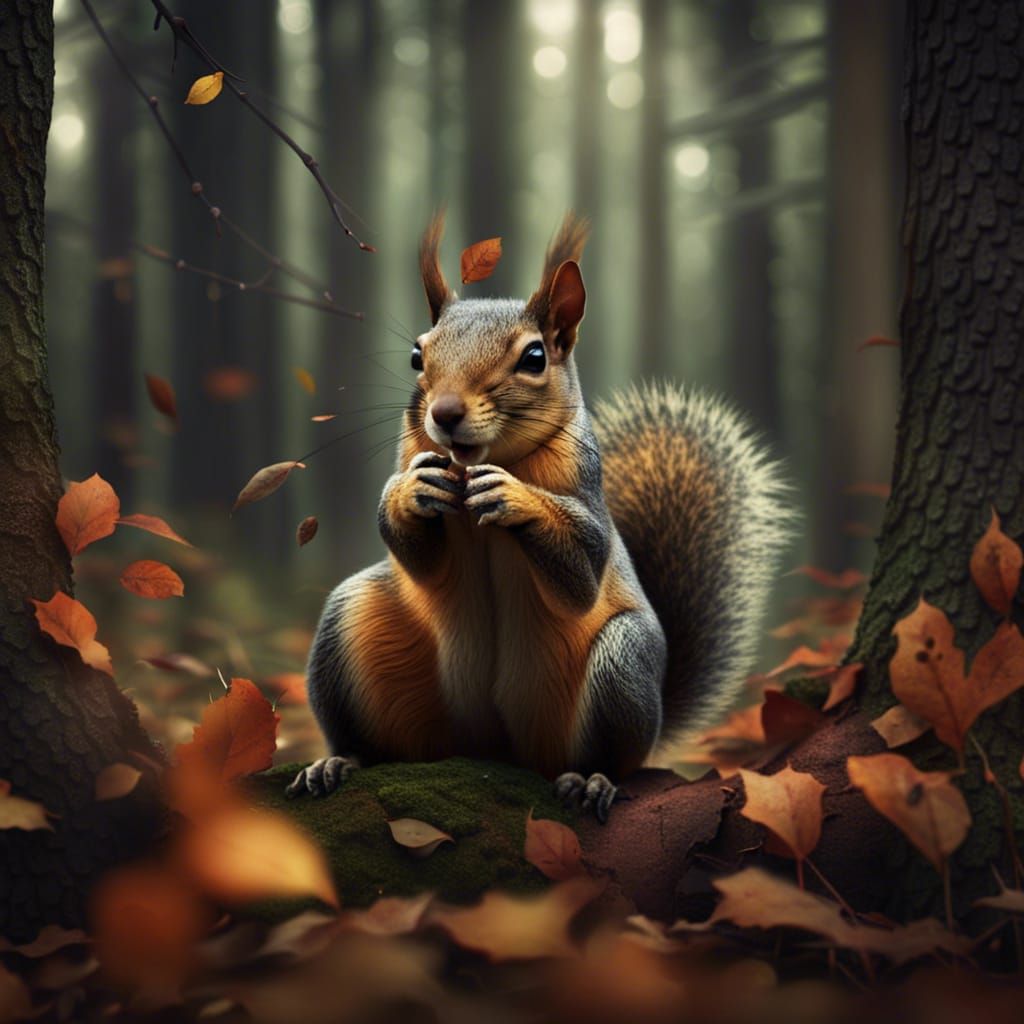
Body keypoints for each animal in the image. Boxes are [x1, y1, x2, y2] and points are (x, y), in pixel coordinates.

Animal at [287, 212, 792, 821]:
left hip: (622, 664)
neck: (483, 464)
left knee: (616, 757)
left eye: (534, 358)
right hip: (353, 624)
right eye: (416, 355)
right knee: (376, 740)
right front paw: (410, 491)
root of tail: (494, 749)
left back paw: (593, 779)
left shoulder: (587, 500)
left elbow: (581, 576)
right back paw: (339, 762)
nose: (444, 413)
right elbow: (416, 553)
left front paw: (517, 498)